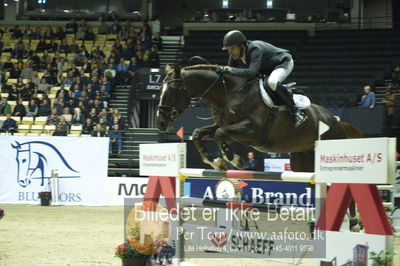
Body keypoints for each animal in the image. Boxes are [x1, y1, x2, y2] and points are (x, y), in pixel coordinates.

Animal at [155, 64, 362, 172]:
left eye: (172, 91)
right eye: (160, 89)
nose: (160, 123)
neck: (231, 93)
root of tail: (337, 121)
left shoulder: (252, 131)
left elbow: (220, 134)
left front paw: (234, 160)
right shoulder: (228, 128)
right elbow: (200, 133)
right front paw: (216, 162)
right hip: (302, 161)